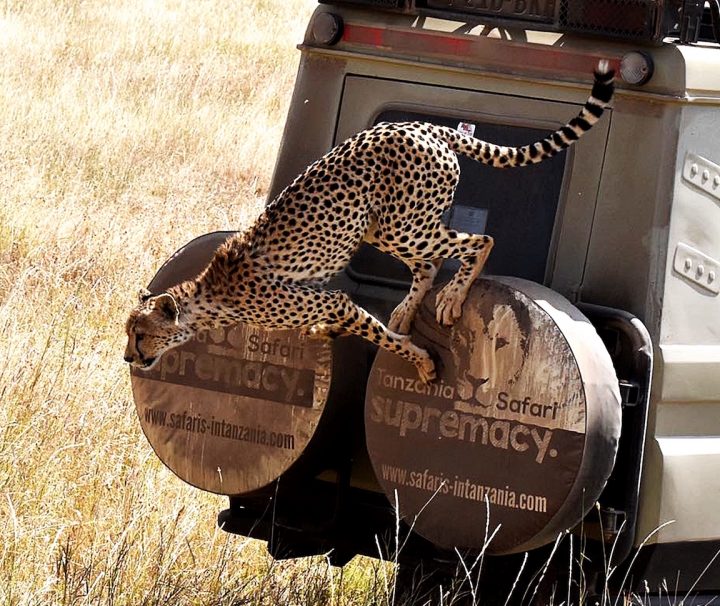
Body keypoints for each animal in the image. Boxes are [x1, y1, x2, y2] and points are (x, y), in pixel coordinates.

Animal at [125, 61, 612, 384]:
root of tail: (423, 126)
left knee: (480, 240)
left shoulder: (333, 301)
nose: (129, 359)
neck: (210, 298)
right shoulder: (328, 301)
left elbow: (377, 337)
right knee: (429, 263)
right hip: (384, 227)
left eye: (141, 335)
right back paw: (405, 310)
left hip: (404, 224)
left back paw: (451, 298)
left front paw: (420, 361)